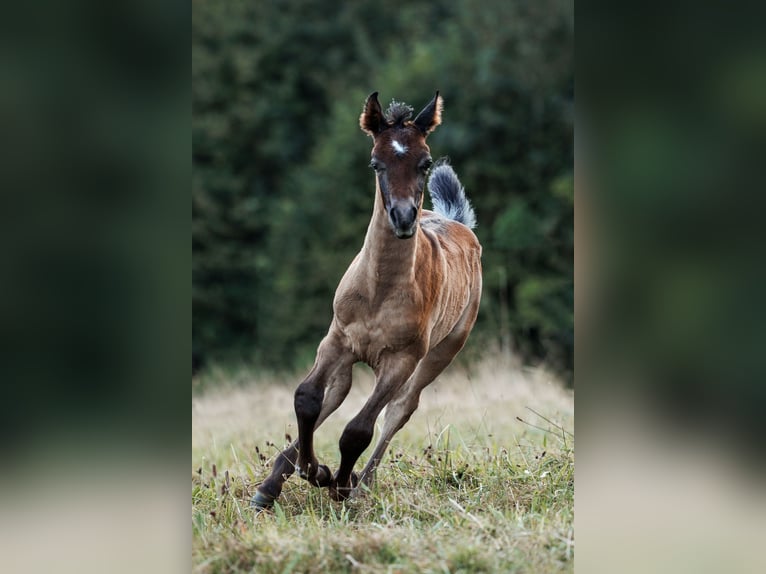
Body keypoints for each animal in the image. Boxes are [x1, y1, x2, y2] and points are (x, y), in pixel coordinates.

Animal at [255, 92, 484, 510]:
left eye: (425, 162)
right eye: (376, 162)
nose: (403, 217)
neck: (380, 290)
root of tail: (460, 224)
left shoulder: (401, 359)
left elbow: (358, 429)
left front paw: (339, 483)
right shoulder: (336, 339)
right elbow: (307, 398)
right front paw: (312, 472)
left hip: (443, 350)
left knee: (400, 409)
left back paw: (361, 483)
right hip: (351, 355)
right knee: (335, 395)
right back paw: (277, 481)